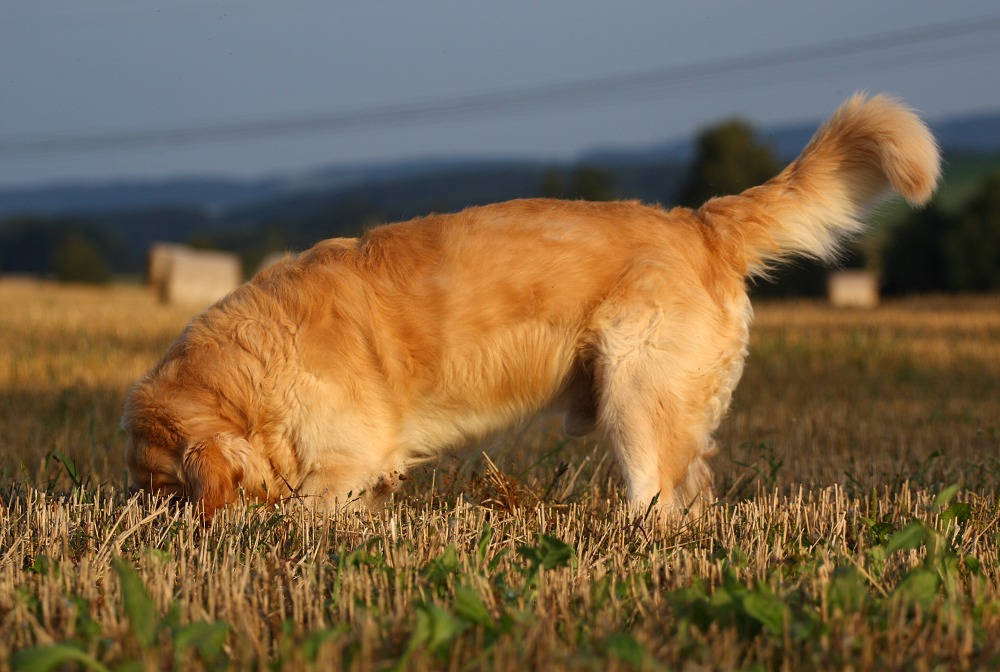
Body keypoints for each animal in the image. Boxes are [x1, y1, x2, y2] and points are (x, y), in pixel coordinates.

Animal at [123, 93, 936, 520]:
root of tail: (697, 223)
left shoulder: (348, 459)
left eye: (164, 489)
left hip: (635, 396)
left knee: (659, 495)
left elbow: (301, 506)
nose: (145, 520)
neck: (251, 375)